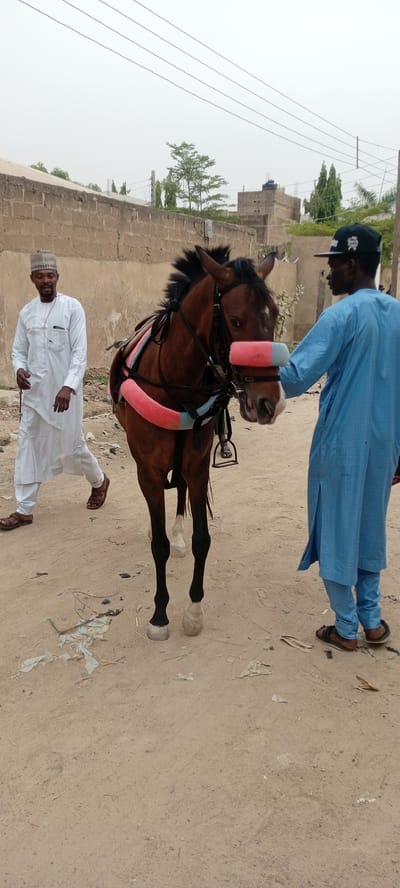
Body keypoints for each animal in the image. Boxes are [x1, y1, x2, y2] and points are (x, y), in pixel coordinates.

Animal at [109, 245, 288, 641]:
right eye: (235, 320)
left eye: (274, 316)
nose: (269, 403)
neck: (175, 386)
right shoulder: (148, 468)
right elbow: (157, 545)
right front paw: (160, 614)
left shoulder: (198, 462)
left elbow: (201, 539)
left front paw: (193, 611)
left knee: (178, 492)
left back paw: (177, 532)